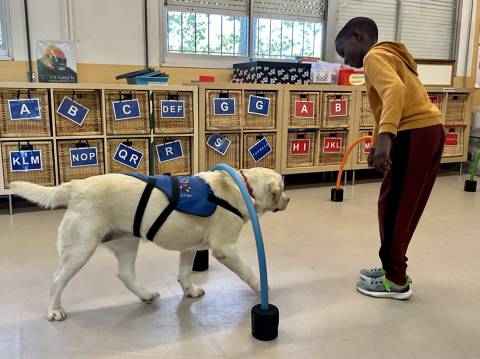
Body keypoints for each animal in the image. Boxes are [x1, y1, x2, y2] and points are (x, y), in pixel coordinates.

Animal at [11, 167, 288, 322]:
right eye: (283, 187)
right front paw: (262, 287)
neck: (243, 187)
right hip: (81, 248)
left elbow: (184, 274)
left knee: (124, 274)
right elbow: (248, 272)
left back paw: (145, 295)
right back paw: (54, 310)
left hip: (127, 242)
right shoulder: (226, 249)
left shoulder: (189, 247)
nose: (288, 199)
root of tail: (76, 185)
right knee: (58, 279)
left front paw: (190, 291)